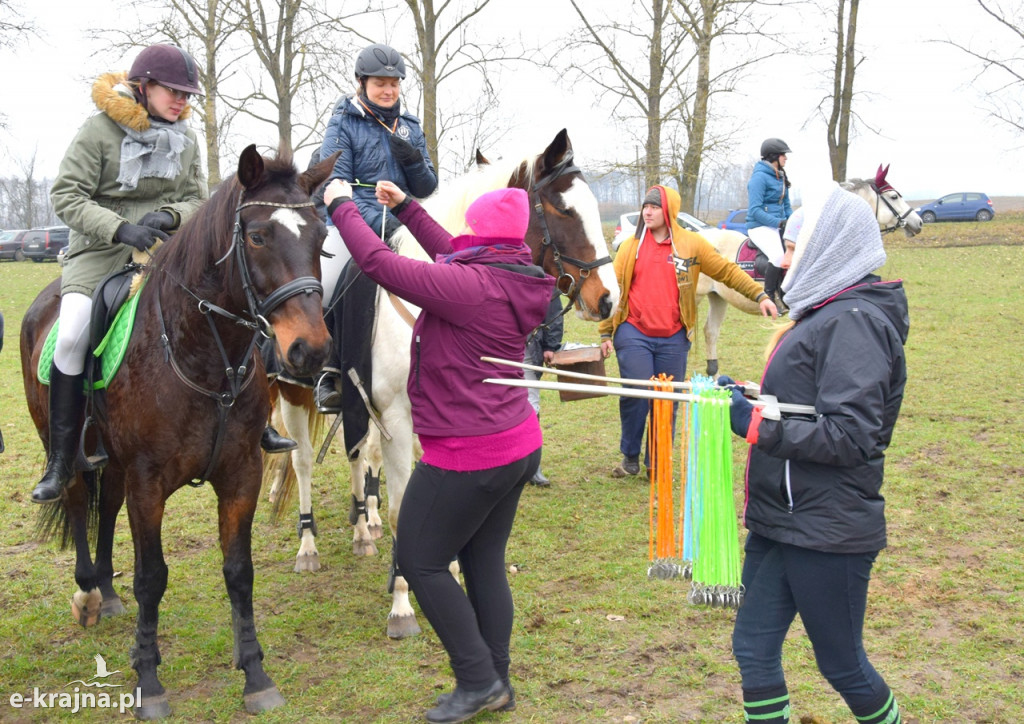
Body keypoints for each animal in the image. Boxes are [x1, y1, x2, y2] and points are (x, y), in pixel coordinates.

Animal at [20, 143, 335, 720]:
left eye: (321, 238)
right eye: (258, 236)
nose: (310, 350)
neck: (200, 354)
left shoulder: (240, 475)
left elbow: (239, 571)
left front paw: (256, 675)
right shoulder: (149, 483)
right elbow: (151, 578)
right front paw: (149, 682)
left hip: (114, 462)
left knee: (105, 507)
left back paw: (107, 591)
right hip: (70, 449)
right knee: (76, 500)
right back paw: (88, 592)